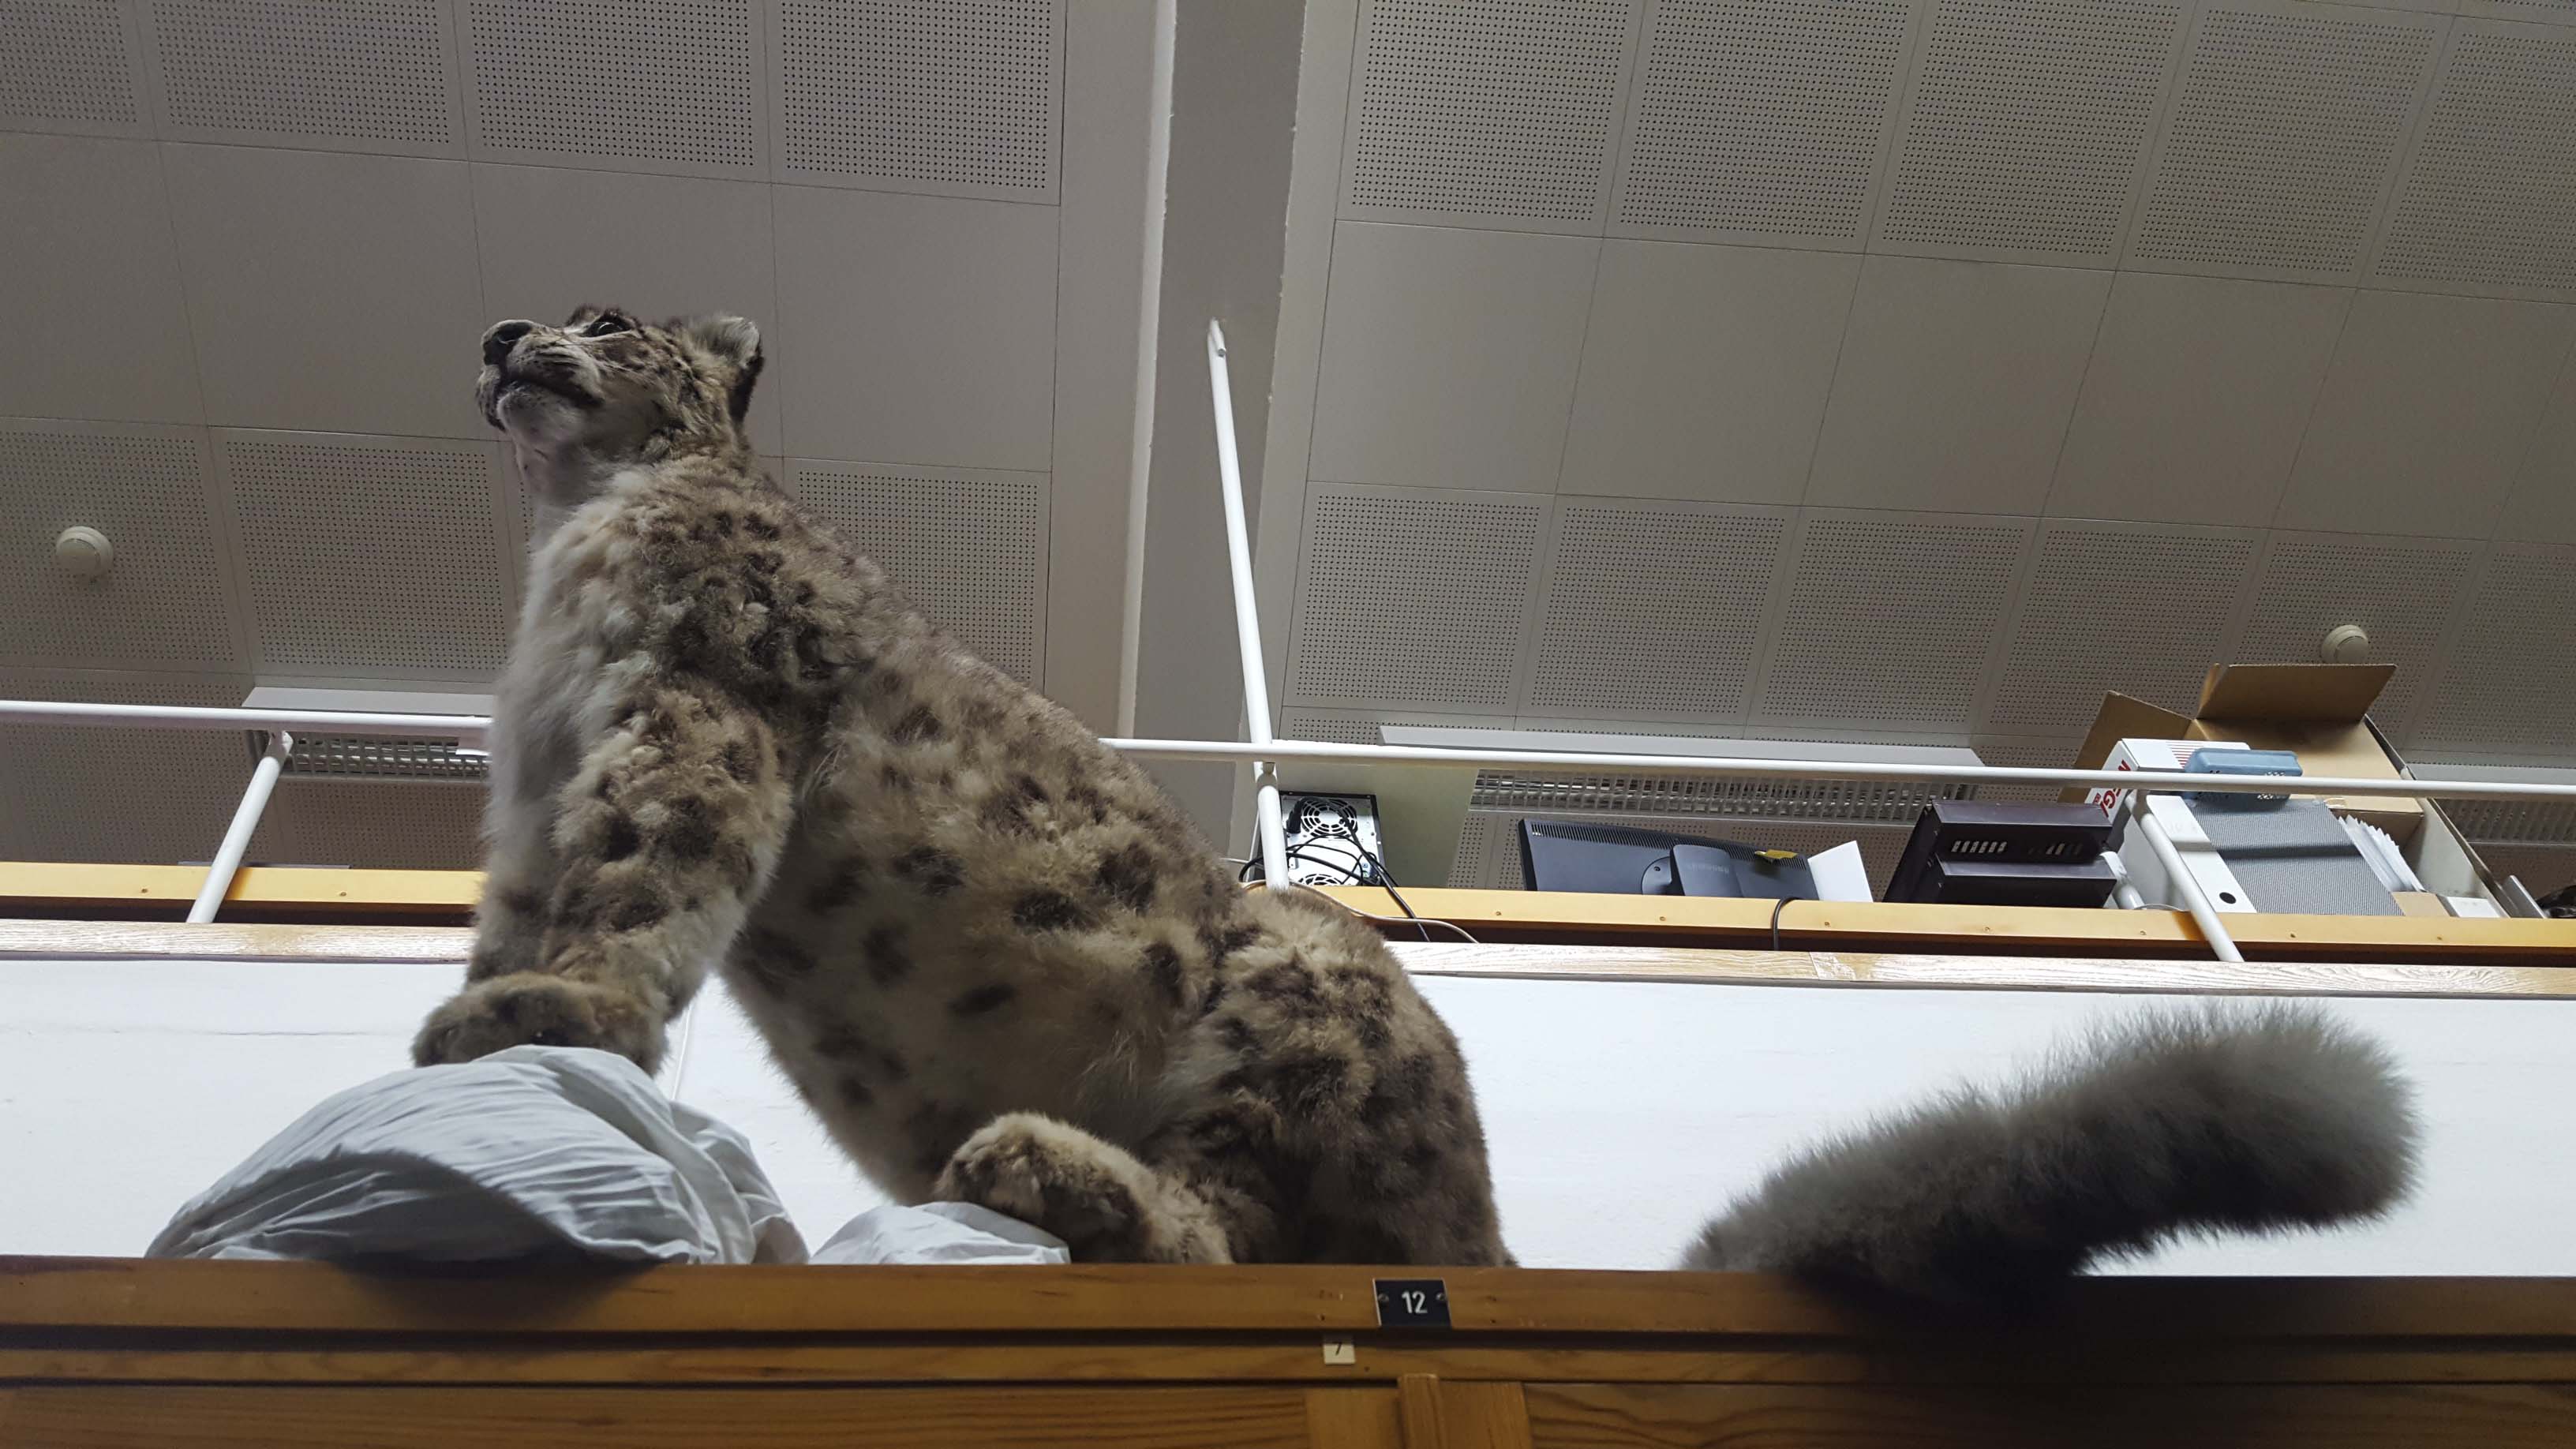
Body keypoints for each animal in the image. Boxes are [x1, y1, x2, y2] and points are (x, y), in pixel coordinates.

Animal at [413, 305, 2418, 1294]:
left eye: (606, 316)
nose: (503, 333)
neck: (571, 538)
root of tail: (1484, 1222)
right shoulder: (534, 782)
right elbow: (522, 900)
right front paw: (476, 1024)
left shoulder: (700, 704)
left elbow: (643, 879)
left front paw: (558, 1014)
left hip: (1298, 991)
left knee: (1233, 1240)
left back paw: (1052, 1172)